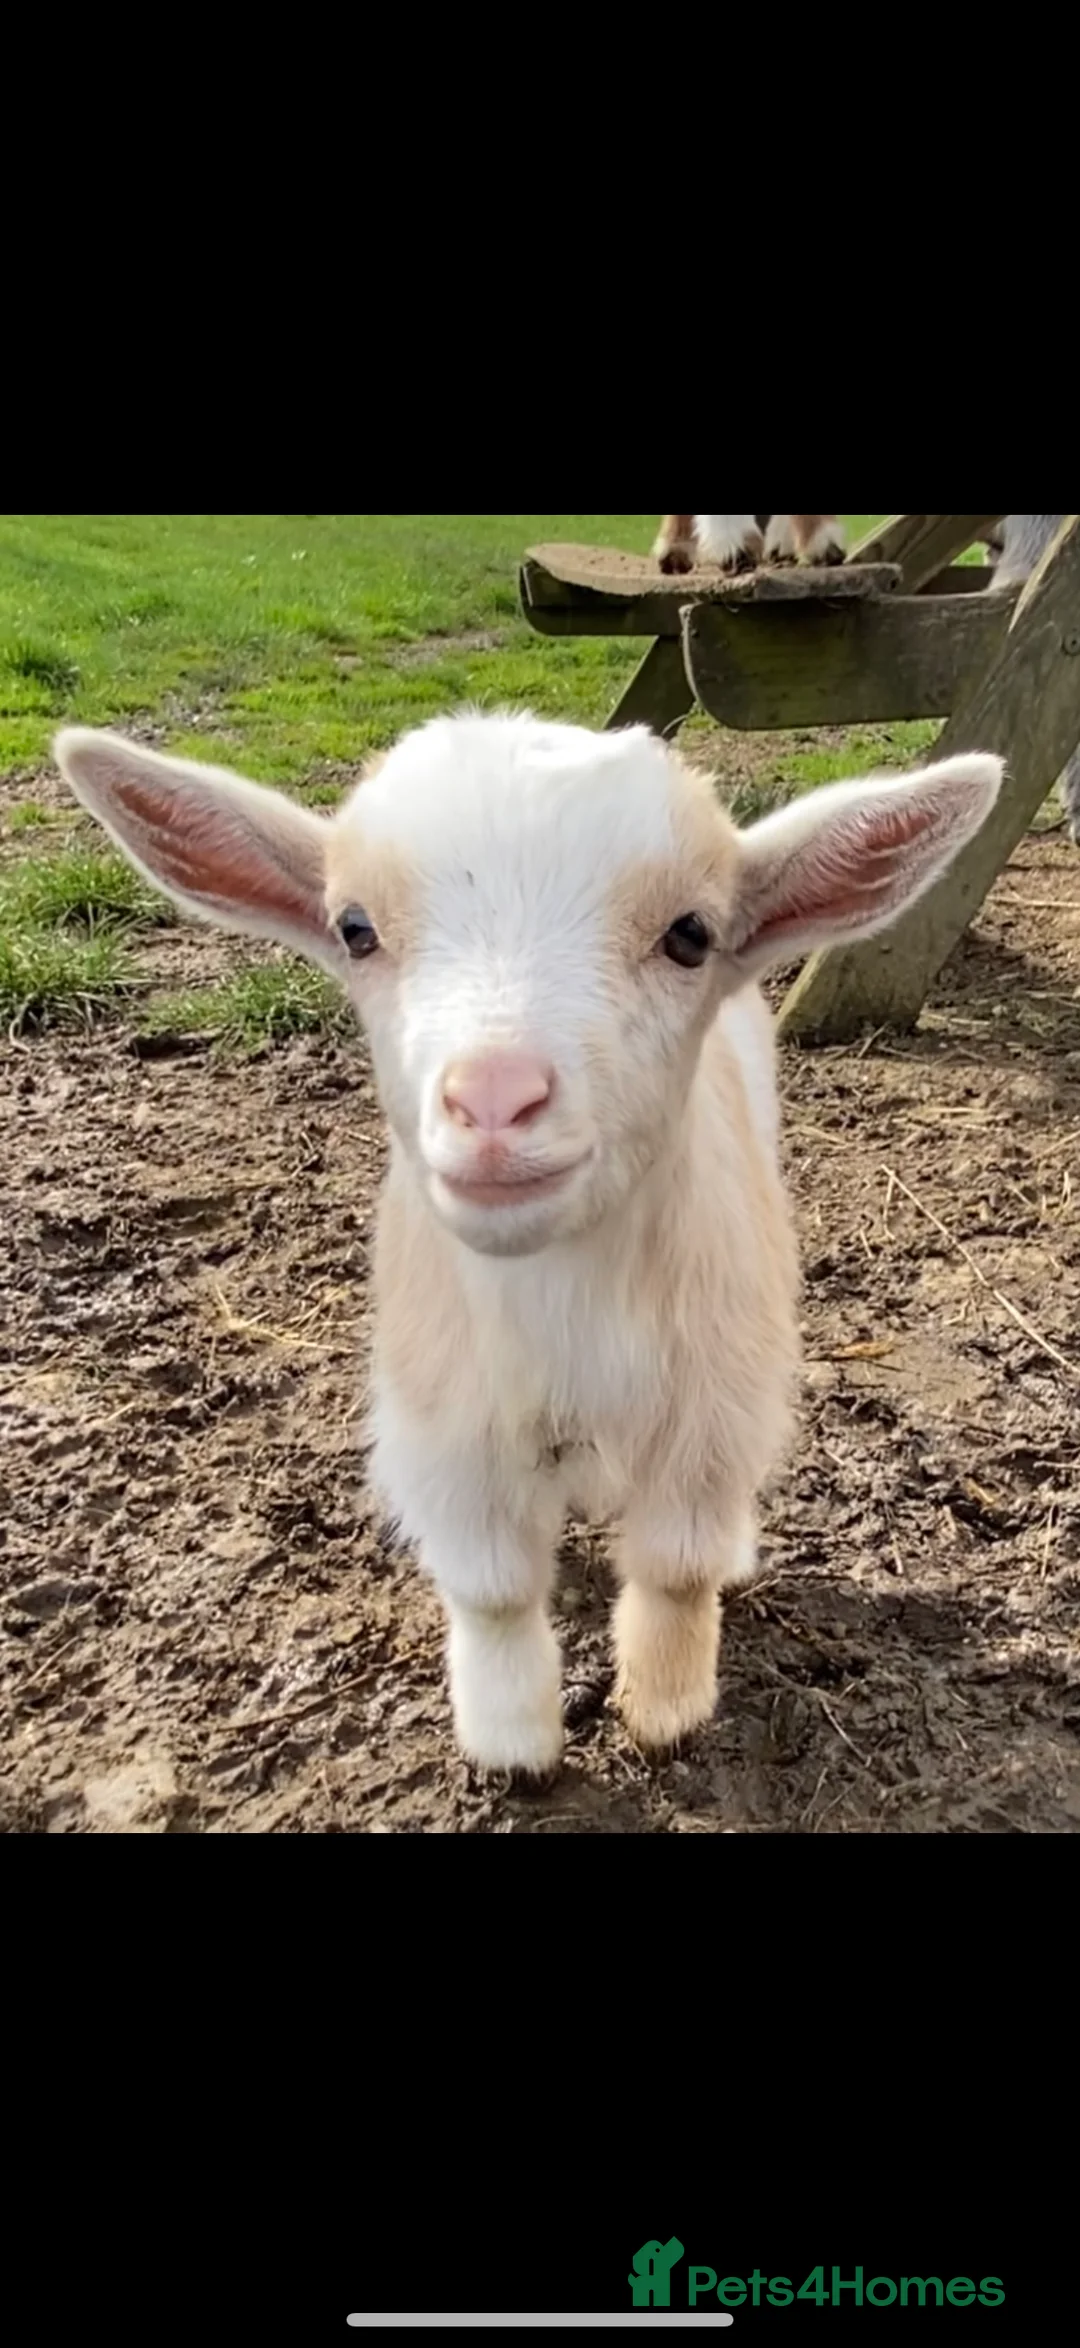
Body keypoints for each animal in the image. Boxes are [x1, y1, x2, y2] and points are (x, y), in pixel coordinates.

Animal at [54, 718, 1001, 1776]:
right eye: (355, 929)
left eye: (689, 935)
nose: (496, 1100)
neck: (563, 1312)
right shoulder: (444, 1429)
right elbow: (494, 1590)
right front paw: (513, 1742)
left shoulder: (714, 1404)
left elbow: (676, 1568)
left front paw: (664, 1709)